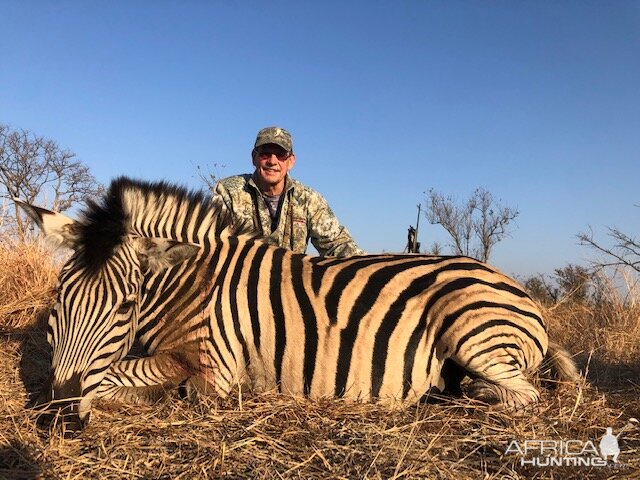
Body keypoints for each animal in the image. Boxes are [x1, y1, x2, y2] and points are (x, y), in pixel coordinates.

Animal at [15, 177, 576, 436]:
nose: (58, 415)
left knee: (523, 396)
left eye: (125, 303)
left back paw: (453, 397)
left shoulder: (215, 368)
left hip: (470, 331)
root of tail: (518, 289)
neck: (192, 283)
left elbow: (125, 379)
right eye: (60, 296)